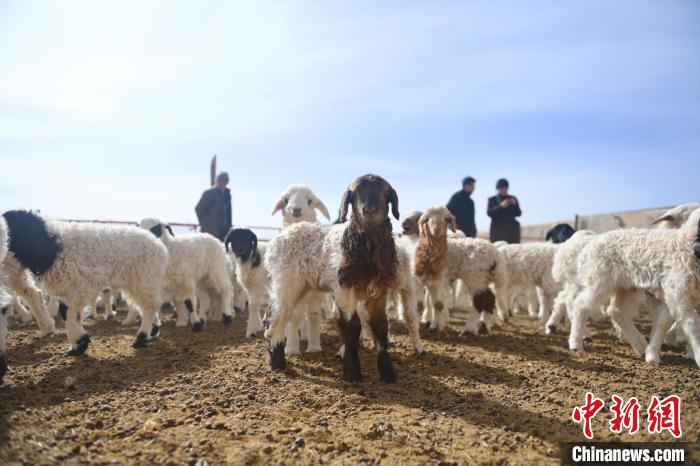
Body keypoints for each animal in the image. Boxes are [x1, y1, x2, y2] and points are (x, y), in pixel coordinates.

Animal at [4, 209, 170, 354]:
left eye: (9, 228)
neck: (52, 245)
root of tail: (160, 246)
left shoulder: (83, 285)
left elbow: (65, 309)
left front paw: (78, 344)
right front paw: (79, 342)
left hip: (143, 277)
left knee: (150, 305)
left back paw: (142, 338)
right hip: (140, 280)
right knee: (148, 303)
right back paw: (153, 330)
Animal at [266, 175, 424, 382]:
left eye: (385, 191)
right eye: (354, 194)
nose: (369, 210)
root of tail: (278, 239)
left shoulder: (379, 290)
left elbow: (380, 326)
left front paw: (388, 373)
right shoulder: (343, 287)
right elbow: (352, 326)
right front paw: (352, 373)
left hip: (303, 285)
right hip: (287, 279)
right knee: (276, 315)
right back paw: (277, 363)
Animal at [568, 208, 700, 368]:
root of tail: (591, 245)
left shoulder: (678, 293)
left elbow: (664, 321)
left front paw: (654, 354)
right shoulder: (677, 291)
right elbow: (692, 323)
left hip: (627, 286)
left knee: (617, 311)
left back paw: (640, 345)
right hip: (600, 279)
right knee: (580, 305)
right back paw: (576, 342)